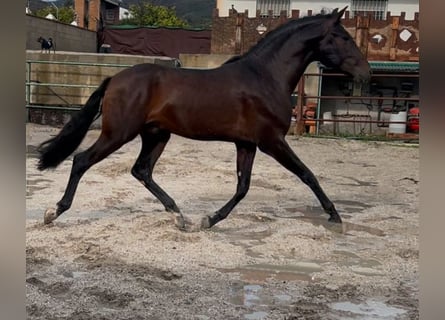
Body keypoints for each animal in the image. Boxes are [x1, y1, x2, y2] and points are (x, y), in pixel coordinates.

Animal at [36, 7, 370, 230]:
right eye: (341, 36)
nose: (365, 72)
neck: (265, 77)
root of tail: (114, 79)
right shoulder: (272, 141)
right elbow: (307, 174)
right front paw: (334, 215)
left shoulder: (247, 144)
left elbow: (243, 186)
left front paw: (209, 219)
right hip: (118, 133)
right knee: (82, 161)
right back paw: (54, 212)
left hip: (156, 135)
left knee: (141, 170)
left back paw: (179, 216)